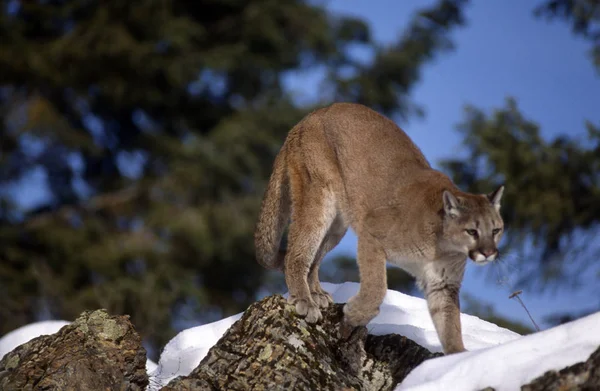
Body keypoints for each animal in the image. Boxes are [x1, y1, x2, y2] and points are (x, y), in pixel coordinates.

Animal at [251, 102, 504, 356]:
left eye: (496, 230)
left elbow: (450, 324)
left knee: (315, 257)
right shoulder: (371, 234)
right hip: (319, 197)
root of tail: (308, 117)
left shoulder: (443, 284)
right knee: (295, 253)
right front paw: (353, 316)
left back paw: (316, 294)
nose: (489, 253)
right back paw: (305, 300)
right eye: (472, 231)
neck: (443, 245)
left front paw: (457, 358)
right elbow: (377, 288)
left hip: (338, 223)